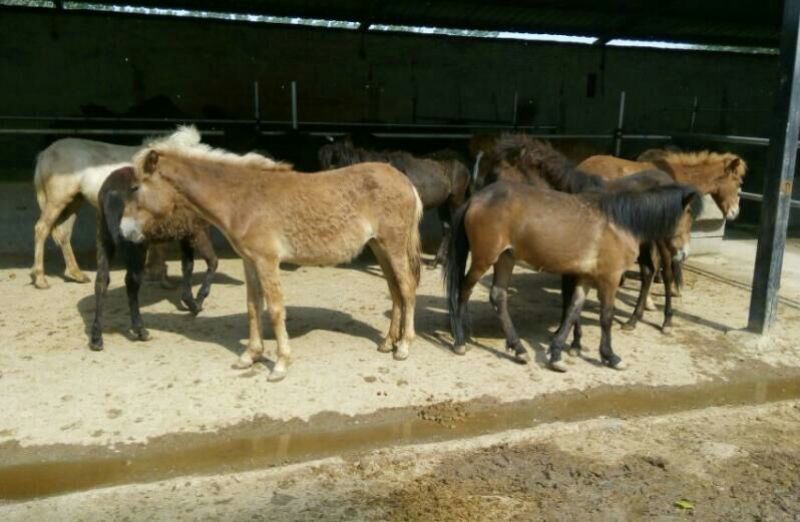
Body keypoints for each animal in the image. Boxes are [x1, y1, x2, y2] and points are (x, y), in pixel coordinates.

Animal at [31, 127, 201, 289]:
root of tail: (45, 154)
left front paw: (159, 278)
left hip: (74, 202)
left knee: (63, 234)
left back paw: (77, 274)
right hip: (57, 201)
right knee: (42, 229)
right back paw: (41, 279)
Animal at [90, 167, 218, 351]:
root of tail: (111, 190)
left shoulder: (185, 232)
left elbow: (188, 265)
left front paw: (191, 302)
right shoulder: (197, 229)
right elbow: (212, 261)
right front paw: (198, 302)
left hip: (103, 238)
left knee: (101, 281)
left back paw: (96, 339)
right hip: (135, 245)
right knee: (131, 282)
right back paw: (141, 331)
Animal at [121, 135, 423, 382]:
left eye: (135, 188)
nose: (125, 231)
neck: (242, 199)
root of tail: (404, 180)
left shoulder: (267, 261)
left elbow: (276, 310)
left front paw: (280, 364)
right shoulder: (250, 261)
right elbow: (253, 306)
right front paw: (249, 356)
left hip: (393, 246)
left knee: (407, 289)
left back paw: (404, 346)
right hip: (379, 247)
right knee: (395, 291)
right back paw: (387, 342)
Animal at [444, 179, 701, 372]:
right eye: (688, 214)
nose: (684, 253)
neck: (620, 222)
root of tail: (476, 198)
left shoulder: (585, 277)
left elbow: (573, 310)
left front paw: (557, 353)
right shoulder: (609, 278)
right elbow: (606, 316)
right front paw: (610, 356)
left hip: (505, 258)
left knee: (498, 296)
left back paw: (518, 348)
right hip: (484, 259)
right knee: (463, 290)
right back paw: (460, 339)